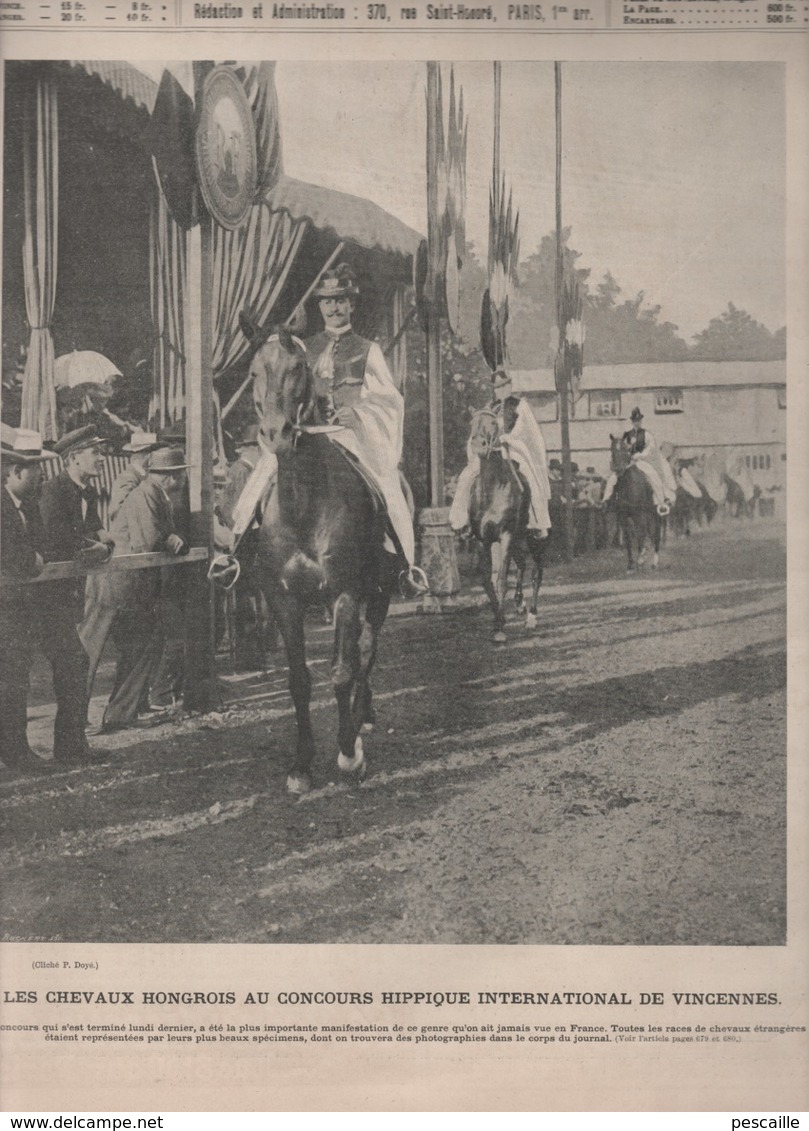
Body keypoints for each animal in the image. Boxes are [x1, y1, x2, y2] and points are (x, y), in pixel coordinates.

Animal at [246, 327, 398, 796]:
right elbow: (300, 680)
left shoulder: (345, 594)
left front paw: (348, 754)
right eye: (253, 371)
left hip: (380, 593)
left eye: (299, 368)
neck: (304, 505)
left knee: (365, 651)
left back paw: (361, 716)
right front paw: (301, 765)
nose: (276, 432)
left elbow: (343, 672)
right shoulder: (284, 601)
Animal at [466, 407, 547, 642]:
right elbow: (487, 581)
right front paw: (498, 620)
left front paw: (500, 629)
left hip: (533, 541)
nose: (479, 445)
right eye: (471, 422)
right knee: (521, 565)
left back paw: (531, 616)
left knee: (536, 573)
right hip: (519, 541)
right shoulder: (483, 540)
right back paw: (519, 603)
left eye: (494, 423)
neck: (493, 490)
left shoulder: (506, 535)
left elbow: (501, 579)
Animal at [610, 432, 660, 574]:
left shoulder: (639, 514)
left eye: (626, 450)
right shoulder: (623, 516)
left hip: (654, 514)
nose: (618, 469)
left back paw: (654, 562)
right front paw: (631, 565)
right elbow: (628, 539)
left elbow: (640, 535)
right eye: (612, 450)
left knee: (655, 535)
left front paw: (640, 560)